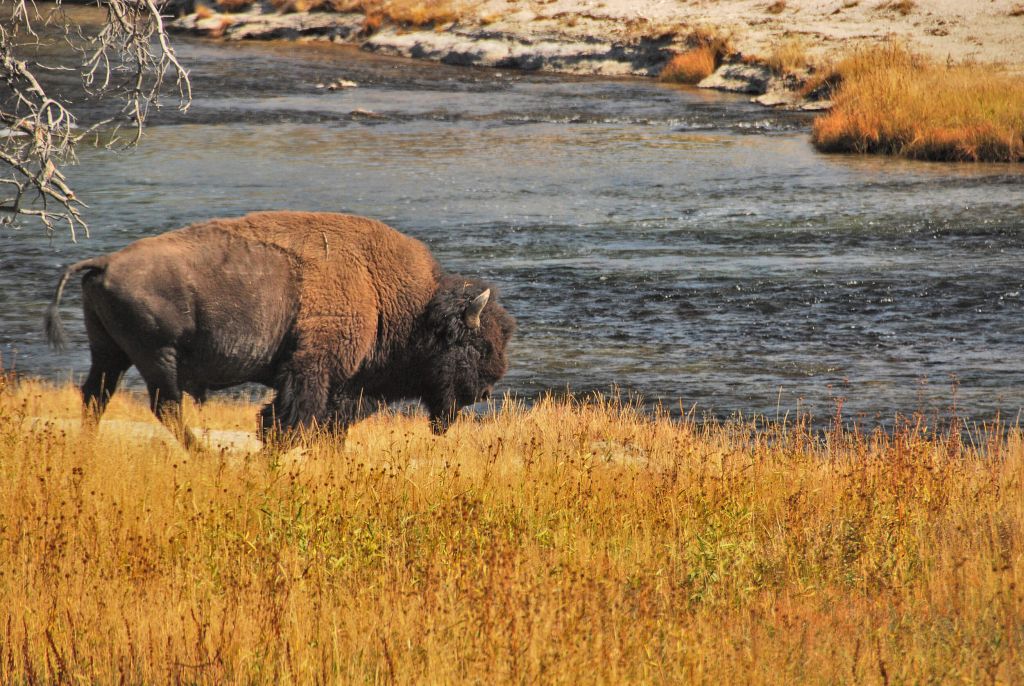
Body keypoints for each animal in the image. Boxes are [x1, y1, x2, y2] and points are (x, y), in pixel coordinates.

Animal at [44, 211, 516, 448]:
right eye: (477, 345)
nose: (486, 391)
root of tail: (105, 262)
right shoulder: (311, 370)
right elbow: (285, 421)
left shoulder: (344, 387)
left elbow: (328, 427)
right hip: (157, 355)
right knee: (166, 406)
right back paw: (204, 455)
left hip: (110, 353)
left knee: (96, 396)